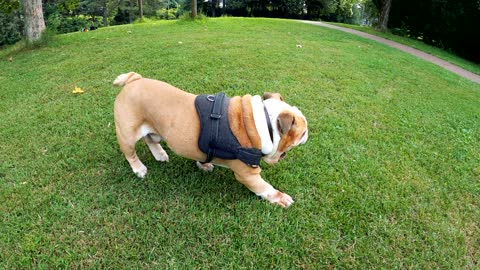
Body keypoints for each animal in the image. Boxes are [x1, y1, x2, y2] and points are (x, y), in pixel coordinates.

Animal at [112, 73, 308, 208]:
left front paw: (204, 164)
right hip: (127, 134)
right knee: (130, 153)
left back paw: (160, 154)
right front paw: (280, 197)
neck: (263, 124)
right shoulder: (248, 174)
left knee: (150, 139)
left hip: (157, 127)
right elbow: (265, 188)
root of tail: (134, 79)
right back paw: (139, 168)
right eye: (303, 131)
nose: (308, 133)